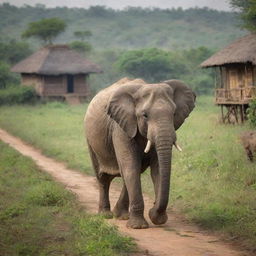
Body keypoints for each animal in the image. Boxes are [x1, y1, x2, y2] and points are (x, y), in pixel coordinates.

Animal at [84, 77, 196, 229]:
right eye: (145, 115)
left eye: (173, 114)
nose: (153, 210)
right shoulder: (120, 127)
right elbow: (131, 167)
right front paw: (138, 226)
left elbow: (157, 170)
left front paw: (156, 219)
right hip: (90, 140)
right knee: (103, 178)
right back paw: (105, 215)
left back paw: (121, 215)